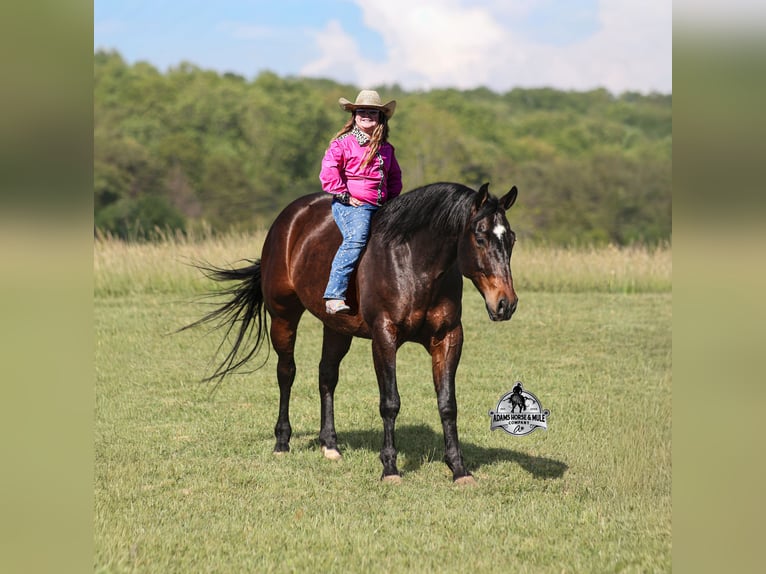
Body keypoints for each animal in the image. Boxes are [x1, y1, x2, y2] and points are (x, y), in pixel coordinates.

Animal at [184, 181, 519, 484]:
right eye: (480, 237)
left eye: (511, 239)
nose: (506, 304)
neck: (413, 263)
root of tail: (288, 220)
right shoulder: (384, 337)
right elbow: (390, 402)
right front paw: (390, 469)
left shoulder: (448, 337)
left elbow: (448, 404)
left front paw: (459, 469)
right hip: (283, 316)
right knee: (286, 372)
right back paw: (282, 442)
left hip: (336, 328)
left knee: (326, 376)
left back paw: (330, 445)